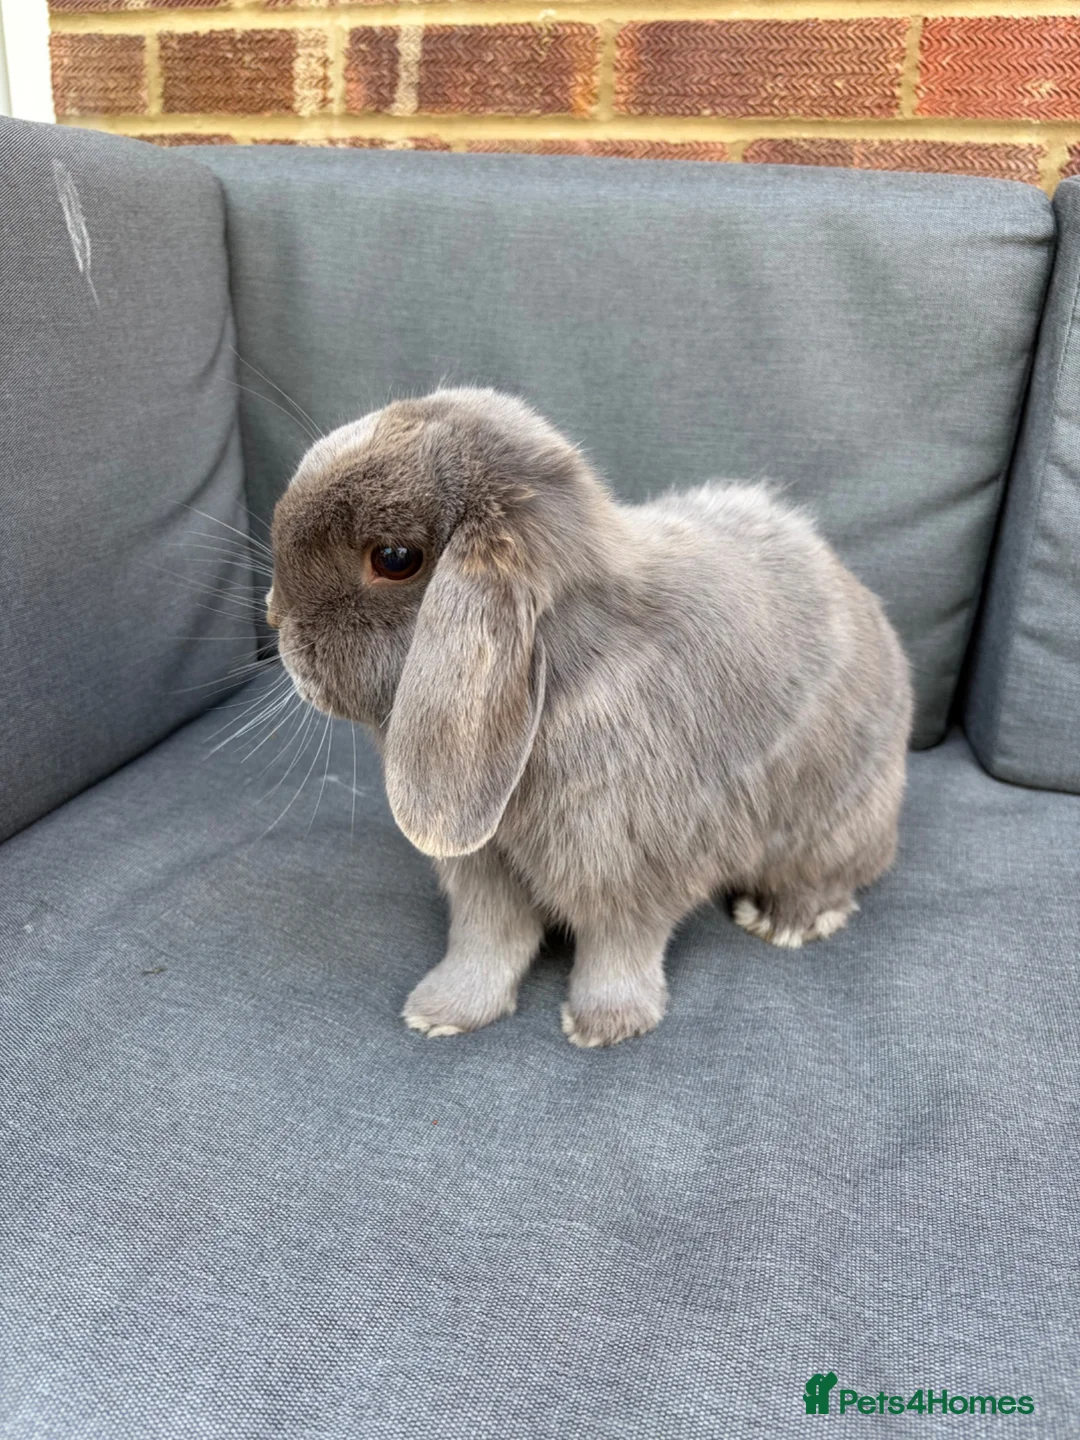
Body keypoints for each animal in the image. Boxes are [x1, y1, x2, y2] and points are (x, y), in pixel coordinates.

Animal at [267, 387, 913, 1047]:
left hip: (834, 825)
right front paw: (442, 1012)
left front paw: (604, 1026)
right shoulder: (485, 872)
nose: (273, 617)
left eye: (395, 558)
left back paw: (784, 921)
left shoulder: (630, 872)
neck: (563, 672)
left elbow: (617, 950)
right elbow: (488, 942)